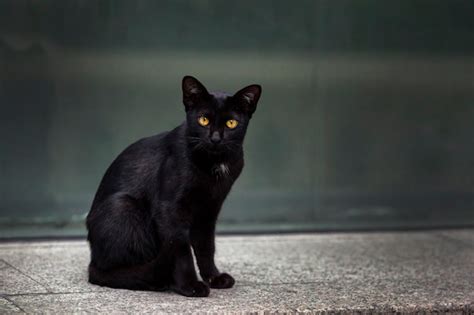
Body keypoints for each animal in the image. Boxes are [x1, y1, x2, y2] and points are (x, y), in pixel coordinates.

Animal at [87, 75, 262, 298]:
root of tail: (93, 258)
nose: (215, 138)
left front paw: (214, 277)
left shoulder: (209, 209)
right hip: (122, 206)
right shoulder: (169, 210)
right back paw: (160, 280)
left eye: (231, 123)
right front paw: (190, 286)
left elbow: (206, 247)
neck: (214, 165)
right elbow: (181, 249)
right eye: (203, 120)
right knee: (112, 270)